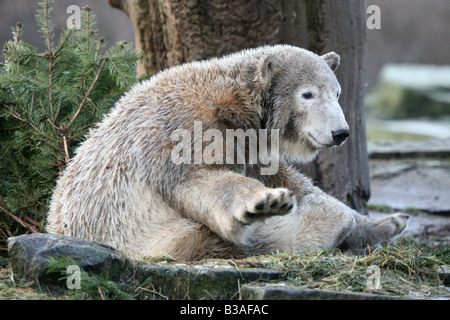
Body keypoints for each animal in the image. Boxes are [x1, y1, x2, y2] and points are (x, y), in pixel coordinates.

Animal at [45, 44, 408, 260]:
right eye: (308, 94)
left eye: (337, 92)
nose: (340, 133)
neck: (235, 101)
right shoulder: (186, 132)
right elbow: (203, 181)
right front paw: (265, 202)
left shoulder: (253, 147)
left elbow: (290, 179)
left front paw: (386, 221)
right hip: (151, 237)